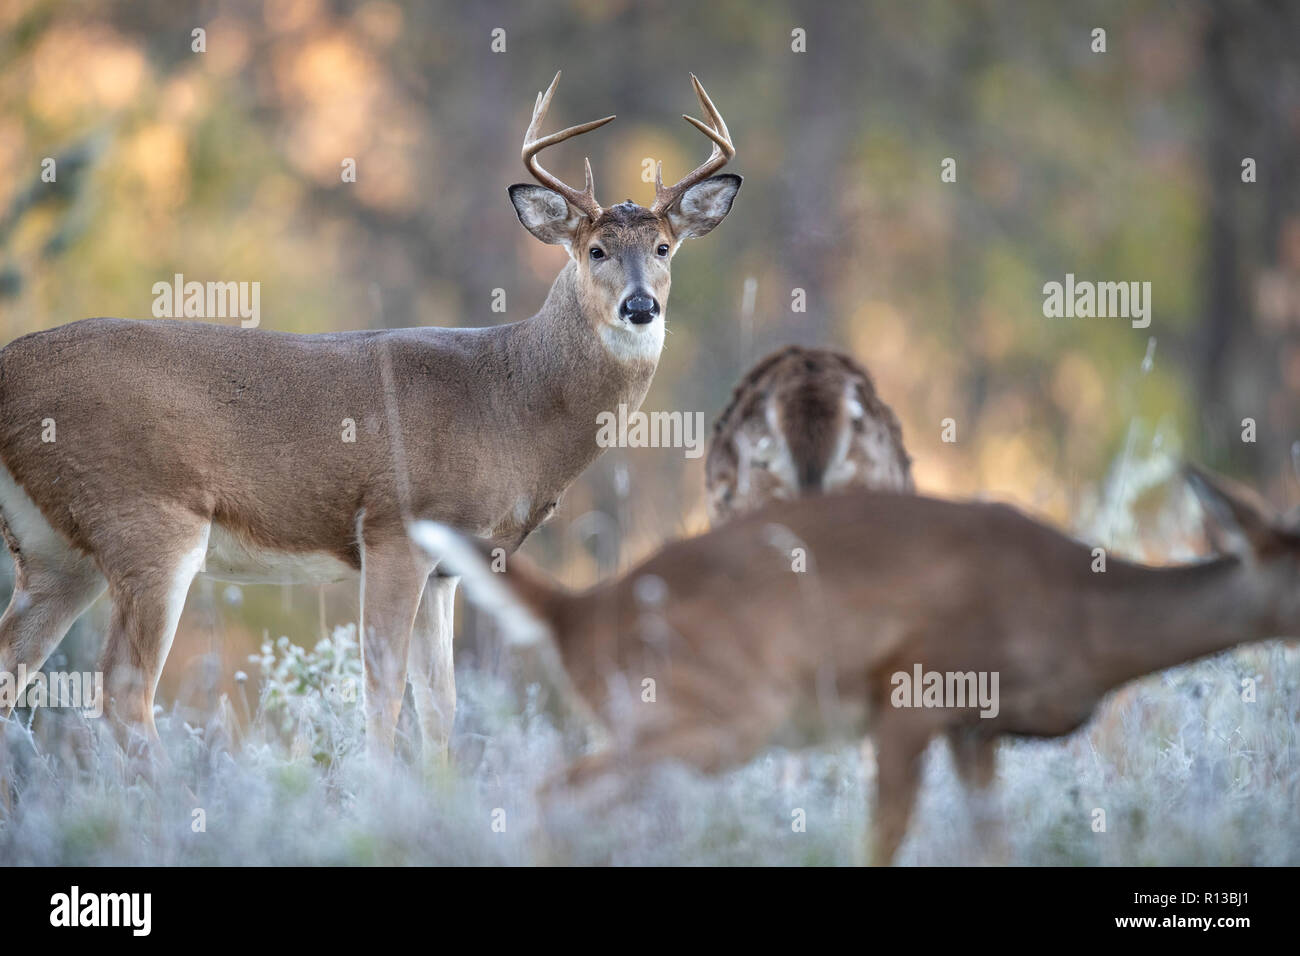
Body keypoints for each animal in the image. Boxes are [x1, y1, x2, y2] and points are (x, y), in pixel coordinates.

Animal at [413, 468, 1300, 868]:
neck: (1079, 618)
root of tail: (580, 613)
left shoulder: (976, 729)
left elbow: (993, 844)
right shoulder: (911, 688)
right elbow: (882, 838)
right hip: (714, 712)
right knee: (554, 792)